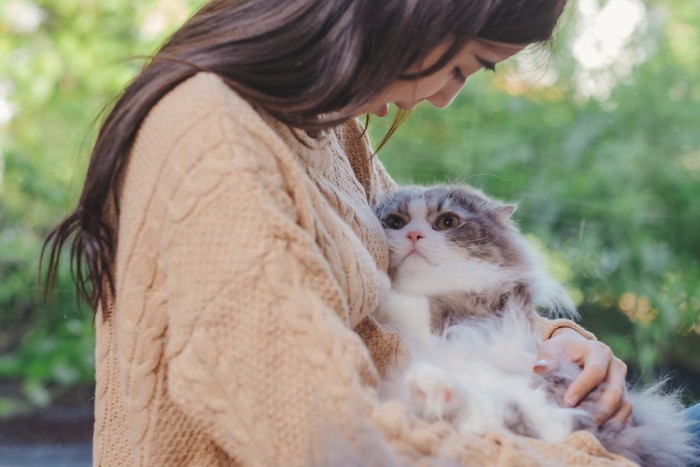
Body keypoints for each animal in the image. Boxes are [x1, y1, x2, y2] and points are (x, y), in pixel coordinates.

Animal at [374, 186, 696, 467]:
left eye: (447, 222)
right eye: (396, 222)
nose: (414, 234)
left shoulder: (451, 319)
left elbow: (407, 304)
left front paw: (382, 284)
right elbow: (404, 302)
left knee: (516, 423)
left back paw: (435, 390)